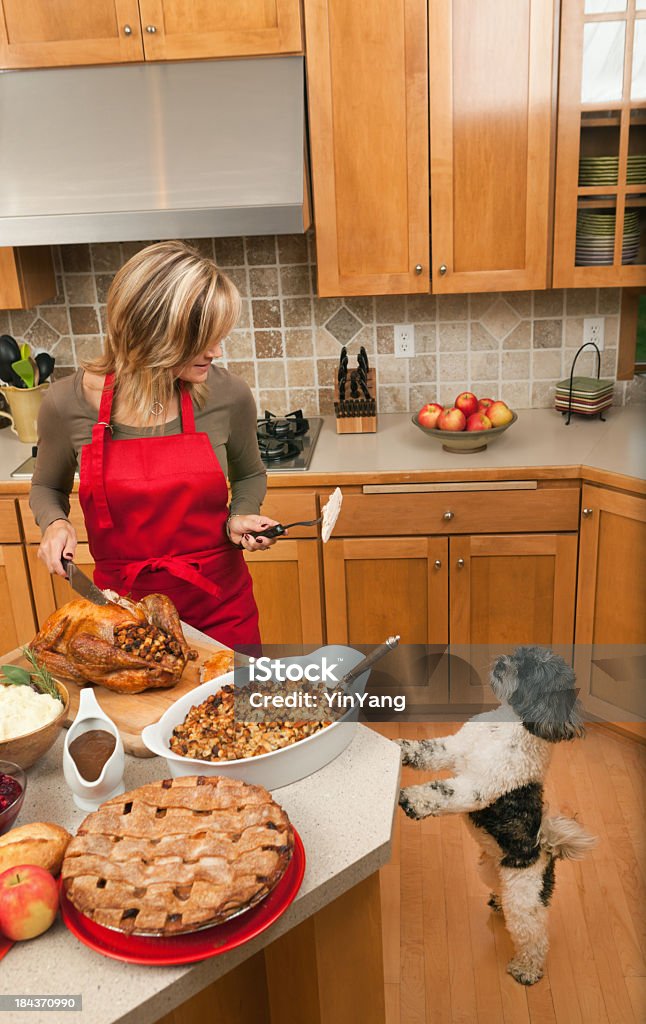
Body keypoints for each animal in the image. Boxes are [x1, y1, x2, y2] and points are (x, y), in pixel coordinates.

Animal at [399, 643, 597, 987]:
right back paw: (497, 901)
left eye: (532, 672)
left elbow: (443, 791)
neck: (505, 723)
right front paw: (399, 747)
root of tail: (546, 848)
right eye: (520, 653)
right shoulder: (453, 748)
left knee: (534, 937)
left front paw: (414, 800)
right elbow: (427, 750)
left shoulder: (478, 786)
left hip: (525, 898)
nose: (503, 663)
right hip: (489, 870)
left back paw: (526, 969)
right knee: (501, 891)